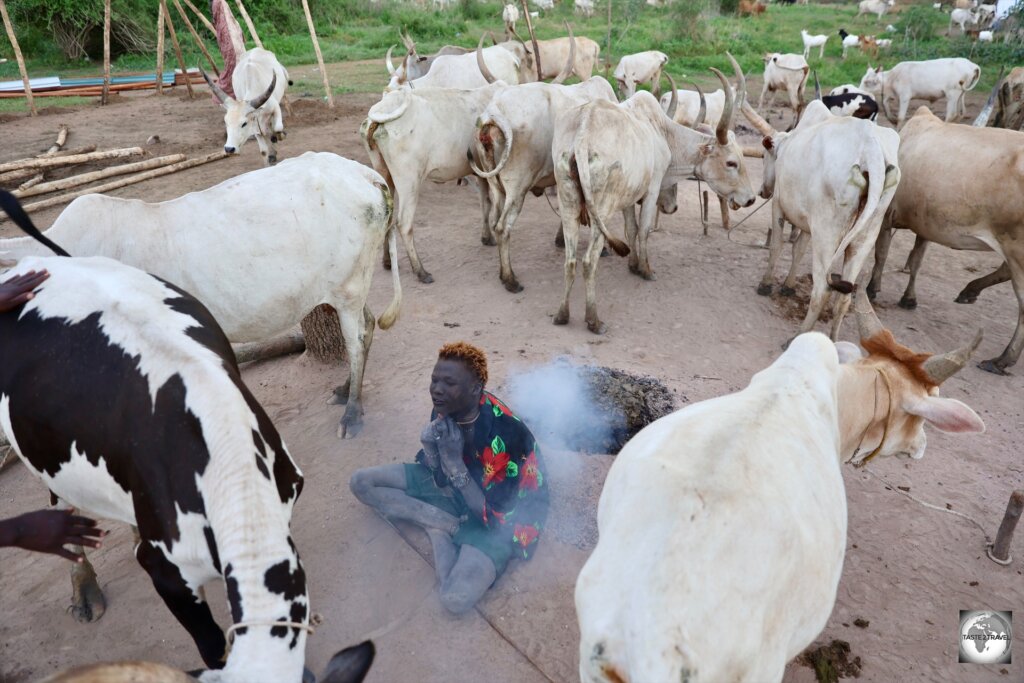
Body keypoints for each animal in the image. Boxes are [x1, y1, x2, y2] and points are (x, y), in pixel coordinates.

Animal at [0, 151, 397, 436]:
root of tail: (366, 175)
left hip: (349, 285)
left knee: (356, 339)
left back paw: (353, 412)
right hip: (349, 286)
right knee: (368, 325)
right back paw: (346, 389)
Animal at [360, 81, 507, 282]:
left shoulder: (480, 170)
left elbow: (485, 202)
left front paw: (487, 237)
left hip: (384, 174)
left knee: (388, 217)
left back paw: (388, 262)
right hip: (409, 180)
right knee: (404, 223)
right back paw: (420, 271)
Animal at [745, 100, 897, 339]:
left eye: (764, 156)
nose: (762, 191)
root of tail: (870, 148)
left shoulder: (778, 205)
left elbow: (777, 246)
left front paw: (766, 284)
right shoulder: (810, 225)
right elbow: (798, 250)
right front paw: (788, 285)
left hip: (828, 234)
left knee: (822, 290)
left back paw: (798, 336)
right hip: (864, 237)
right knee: (844, 297)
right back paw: (833, 340)